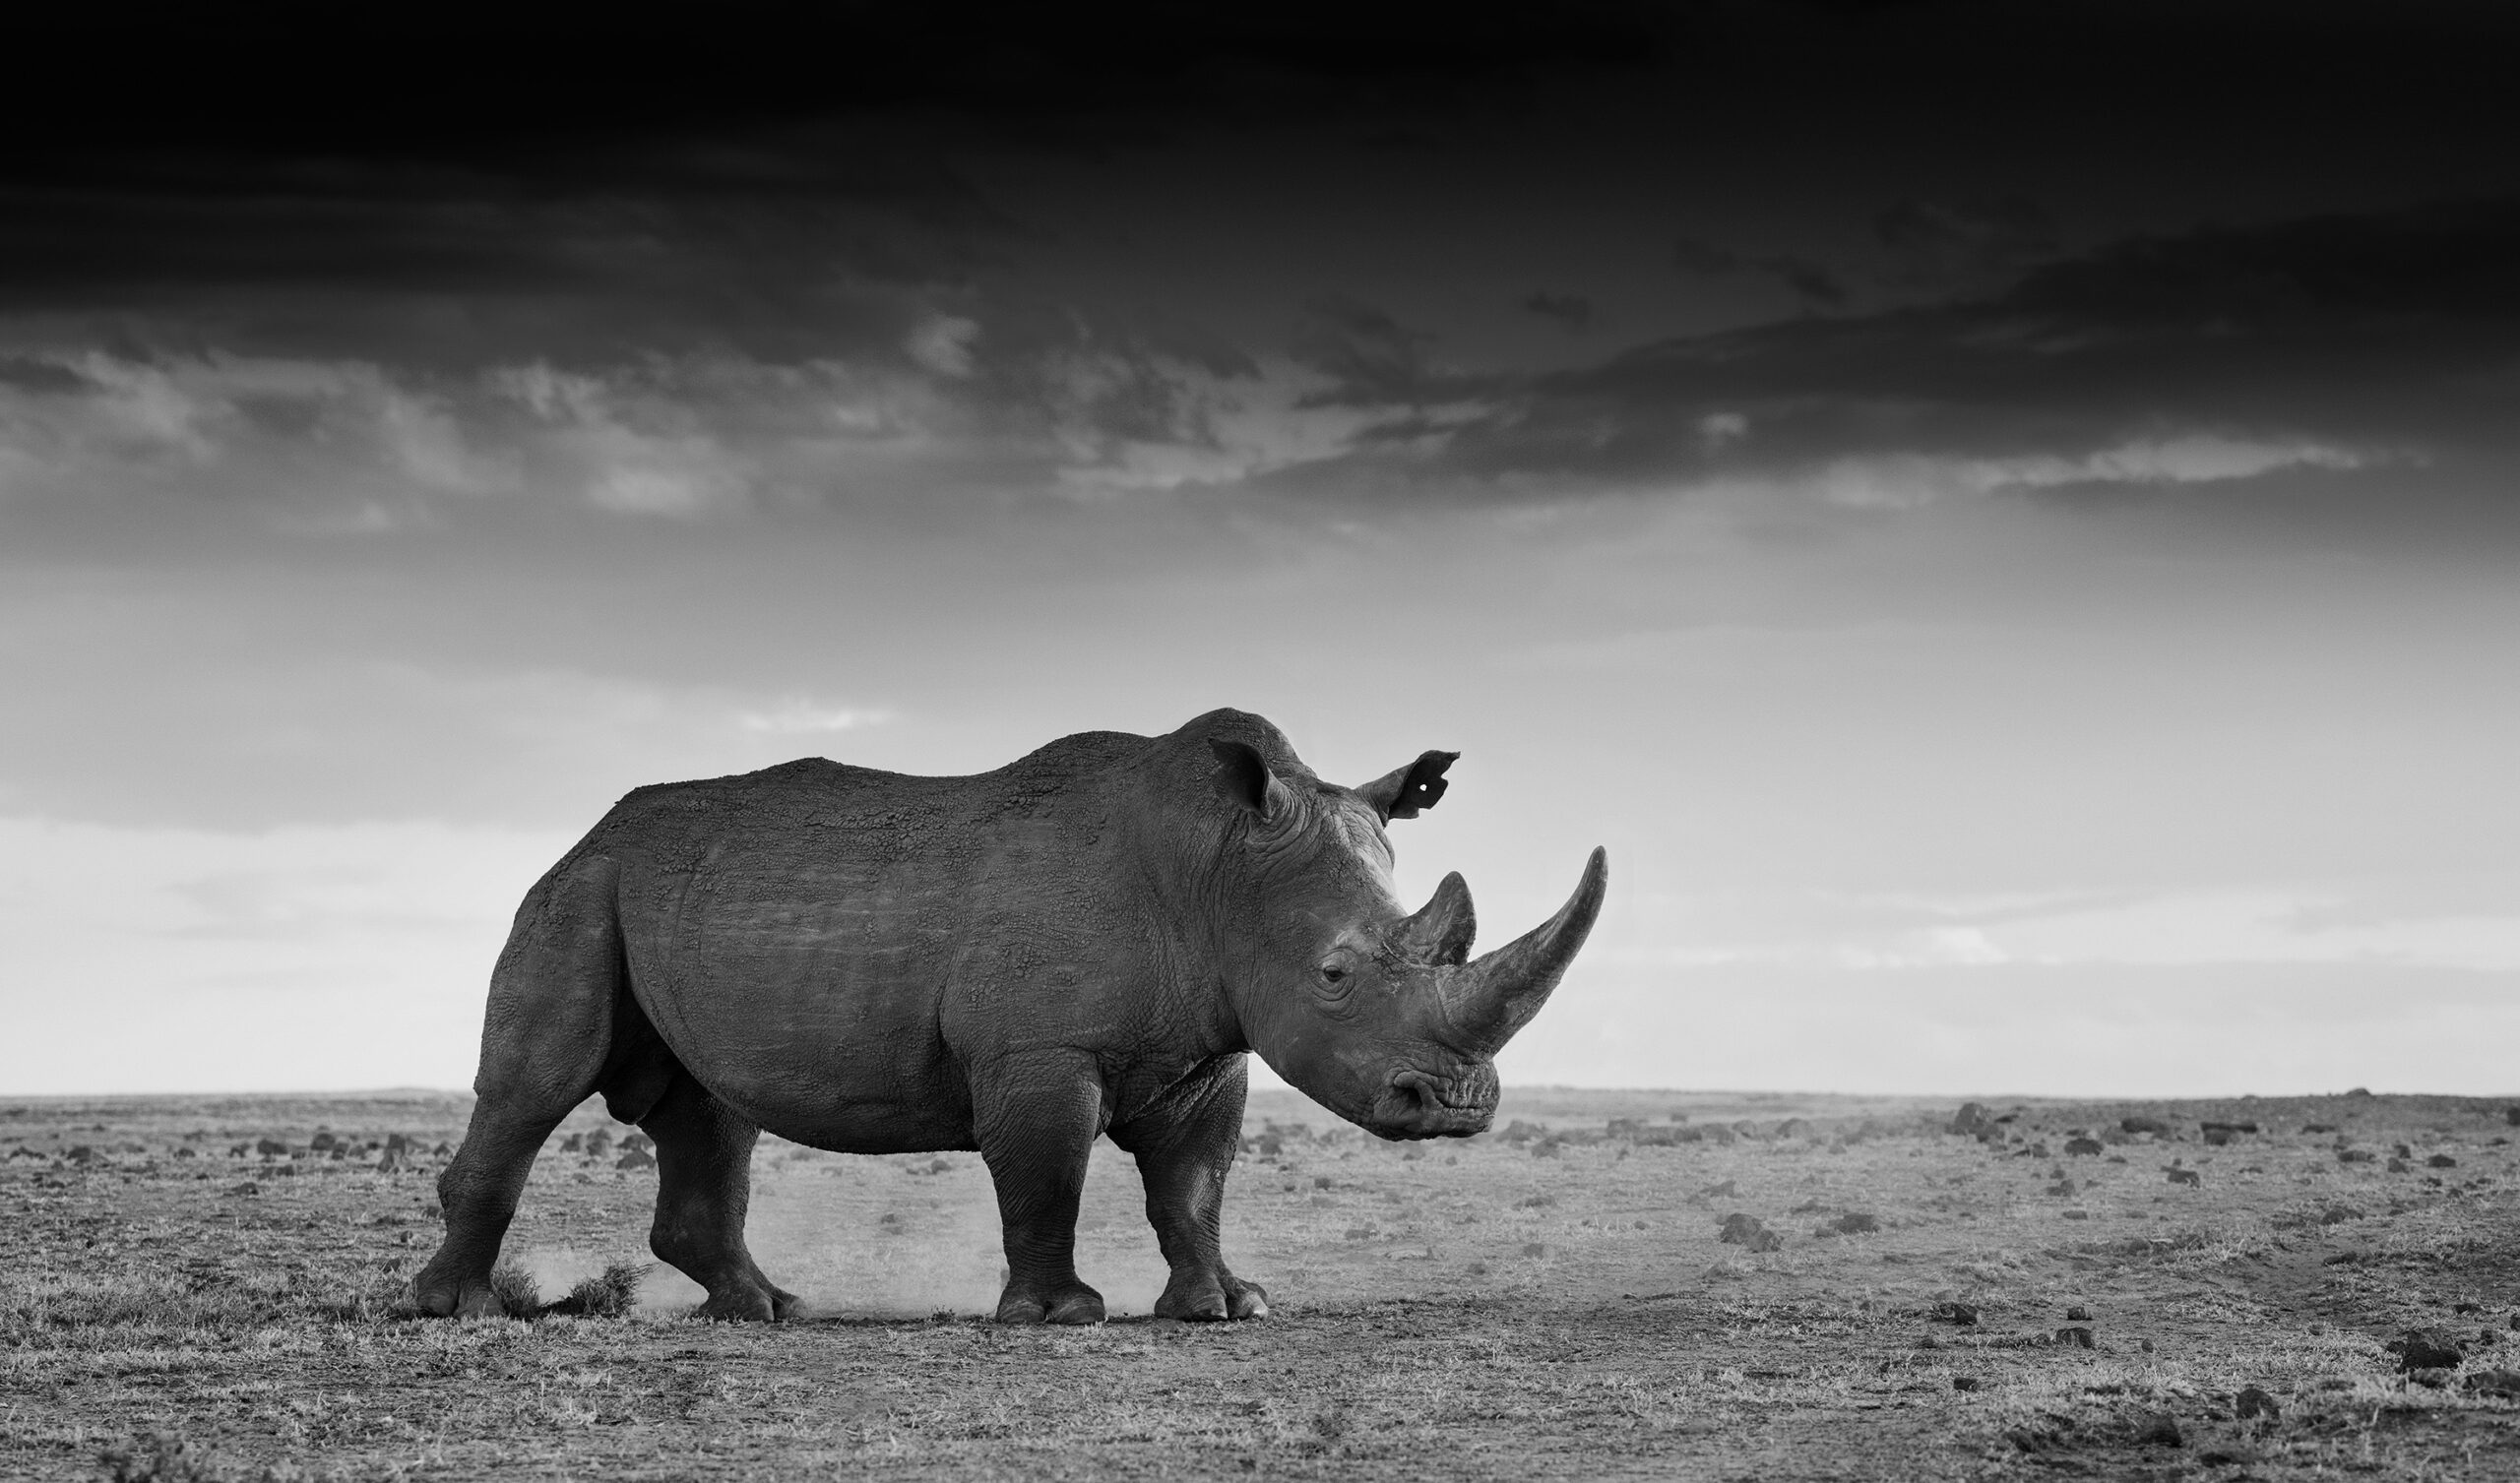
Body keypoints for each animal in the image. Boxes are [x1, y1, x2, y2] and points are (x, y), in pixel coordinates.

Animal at [414, 708, 1607, 1324]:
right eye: (1334, 975)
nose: (1453, 1105)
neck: (1217, 867)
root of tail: (587, 830)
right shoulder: (1038, 1048)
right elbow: (1046, 1172)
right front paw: (1061, 1316)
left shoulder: (1209, 1047)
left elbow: (1193, 1185)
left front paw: (1227, 1306)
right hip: (582, 889)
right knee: (534, 1088)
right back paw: (459, 1311)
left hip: (668, 897)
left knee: (711, 1110)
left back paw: (768, 1311)